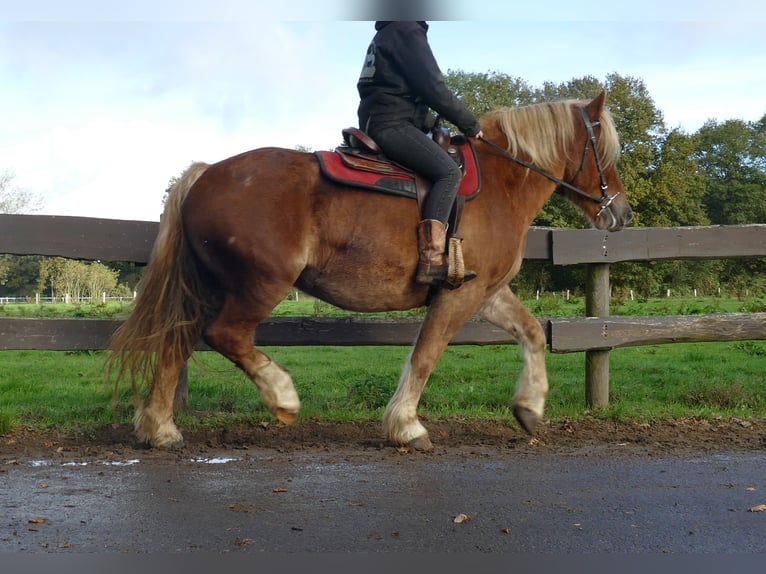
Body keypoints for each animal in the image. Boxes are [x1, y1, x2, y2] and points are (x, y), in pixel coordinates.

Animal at [108, 91, 633, 450]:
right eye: (606, 150)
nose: (622, 214)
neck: (500, 182)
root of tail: (206, 174)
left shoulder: (485, 292)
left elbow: (532, 333)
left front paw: (529, 406)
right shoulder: (458, 295)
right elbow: (425, 356)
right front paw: (406, 425)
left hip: (210, 287)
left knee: (177, 343)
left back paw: (160, 428)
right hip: (260, 284)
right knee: (225, 336)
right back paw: (282, 396)